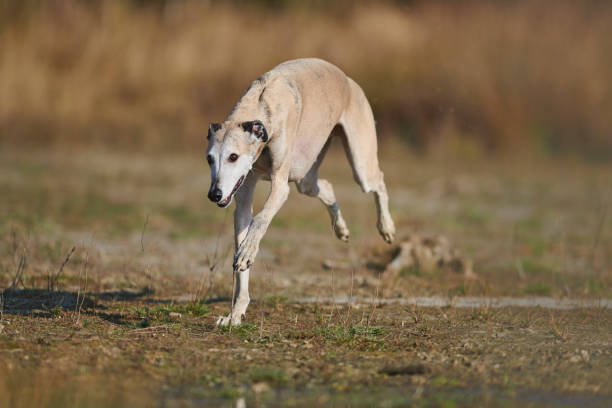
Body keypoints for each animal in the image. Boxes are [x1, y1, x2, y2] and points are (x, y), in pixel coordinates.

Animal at [207, 58, 396, 326]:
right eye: (209, 159)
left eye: (233, 156)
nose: (214, 194)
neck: (262, 104)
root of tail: (348, 79)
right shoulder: (242, 195)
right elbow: (243, 240)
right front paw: (235, 314)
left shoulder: (279, 184)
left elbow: (261, 219)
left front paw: (247, 252)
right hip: (304, 174)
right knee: (324, 186)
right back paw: (341, 228)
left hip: (360, 164)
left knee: (377, 181)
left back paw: (386, 227)